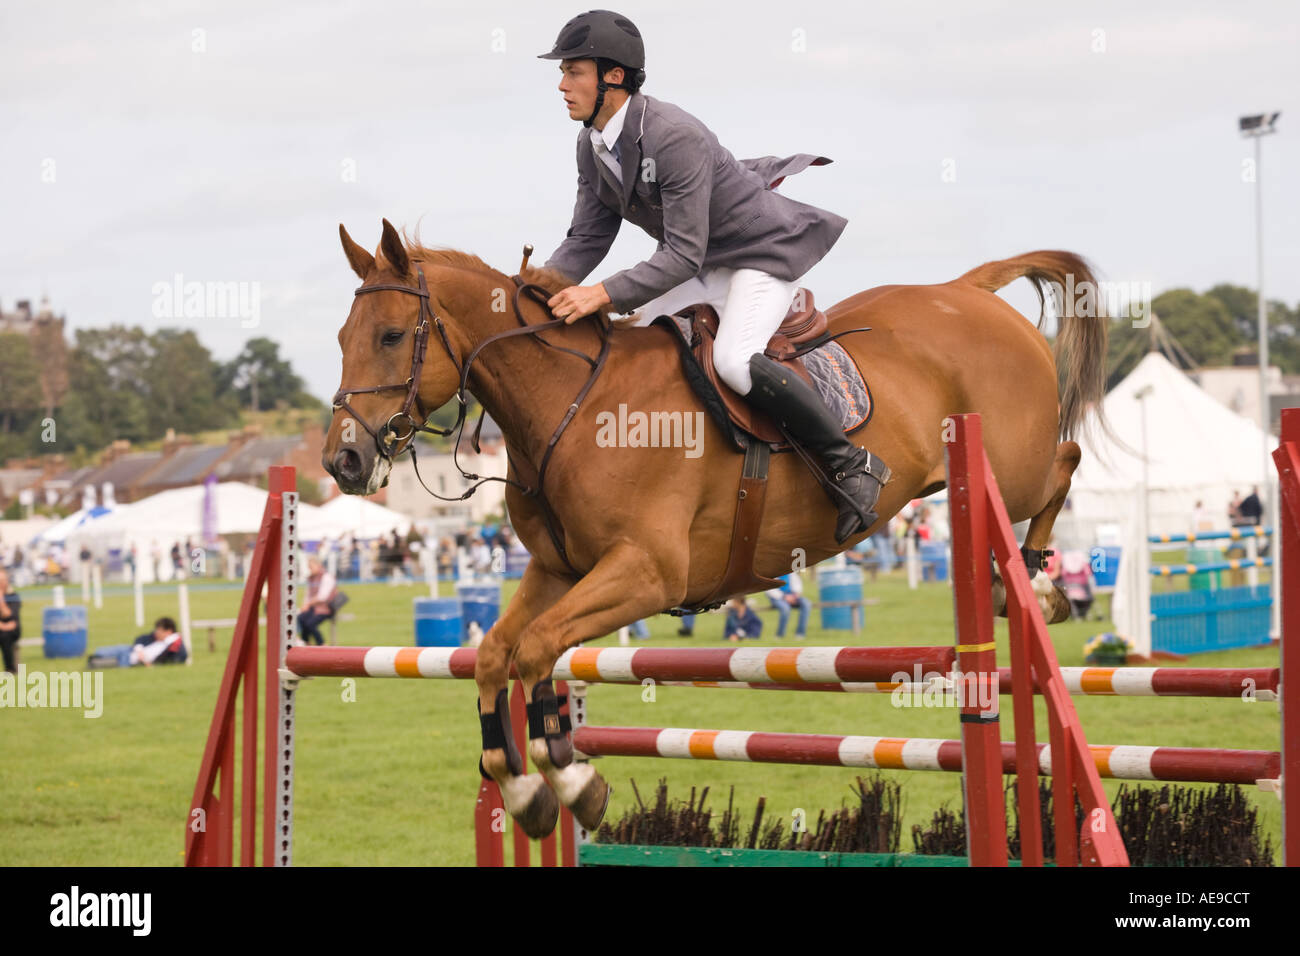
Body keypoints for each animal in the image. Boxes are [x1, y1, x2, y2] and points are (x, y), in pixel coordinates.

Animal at [322, 219, 1107, 839]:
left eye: (391, 335)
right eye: (341, 338)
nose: (343, 461)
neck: (572, 406)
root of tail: (967, 289)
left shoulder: (647, 573)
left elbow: (537, 648)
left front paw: (574, 780)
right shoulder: (558, 571)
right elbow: (496, 655)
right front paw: (524, 789)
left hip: (1009, 467)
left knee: (1064, 462)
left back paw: (1034, 584)